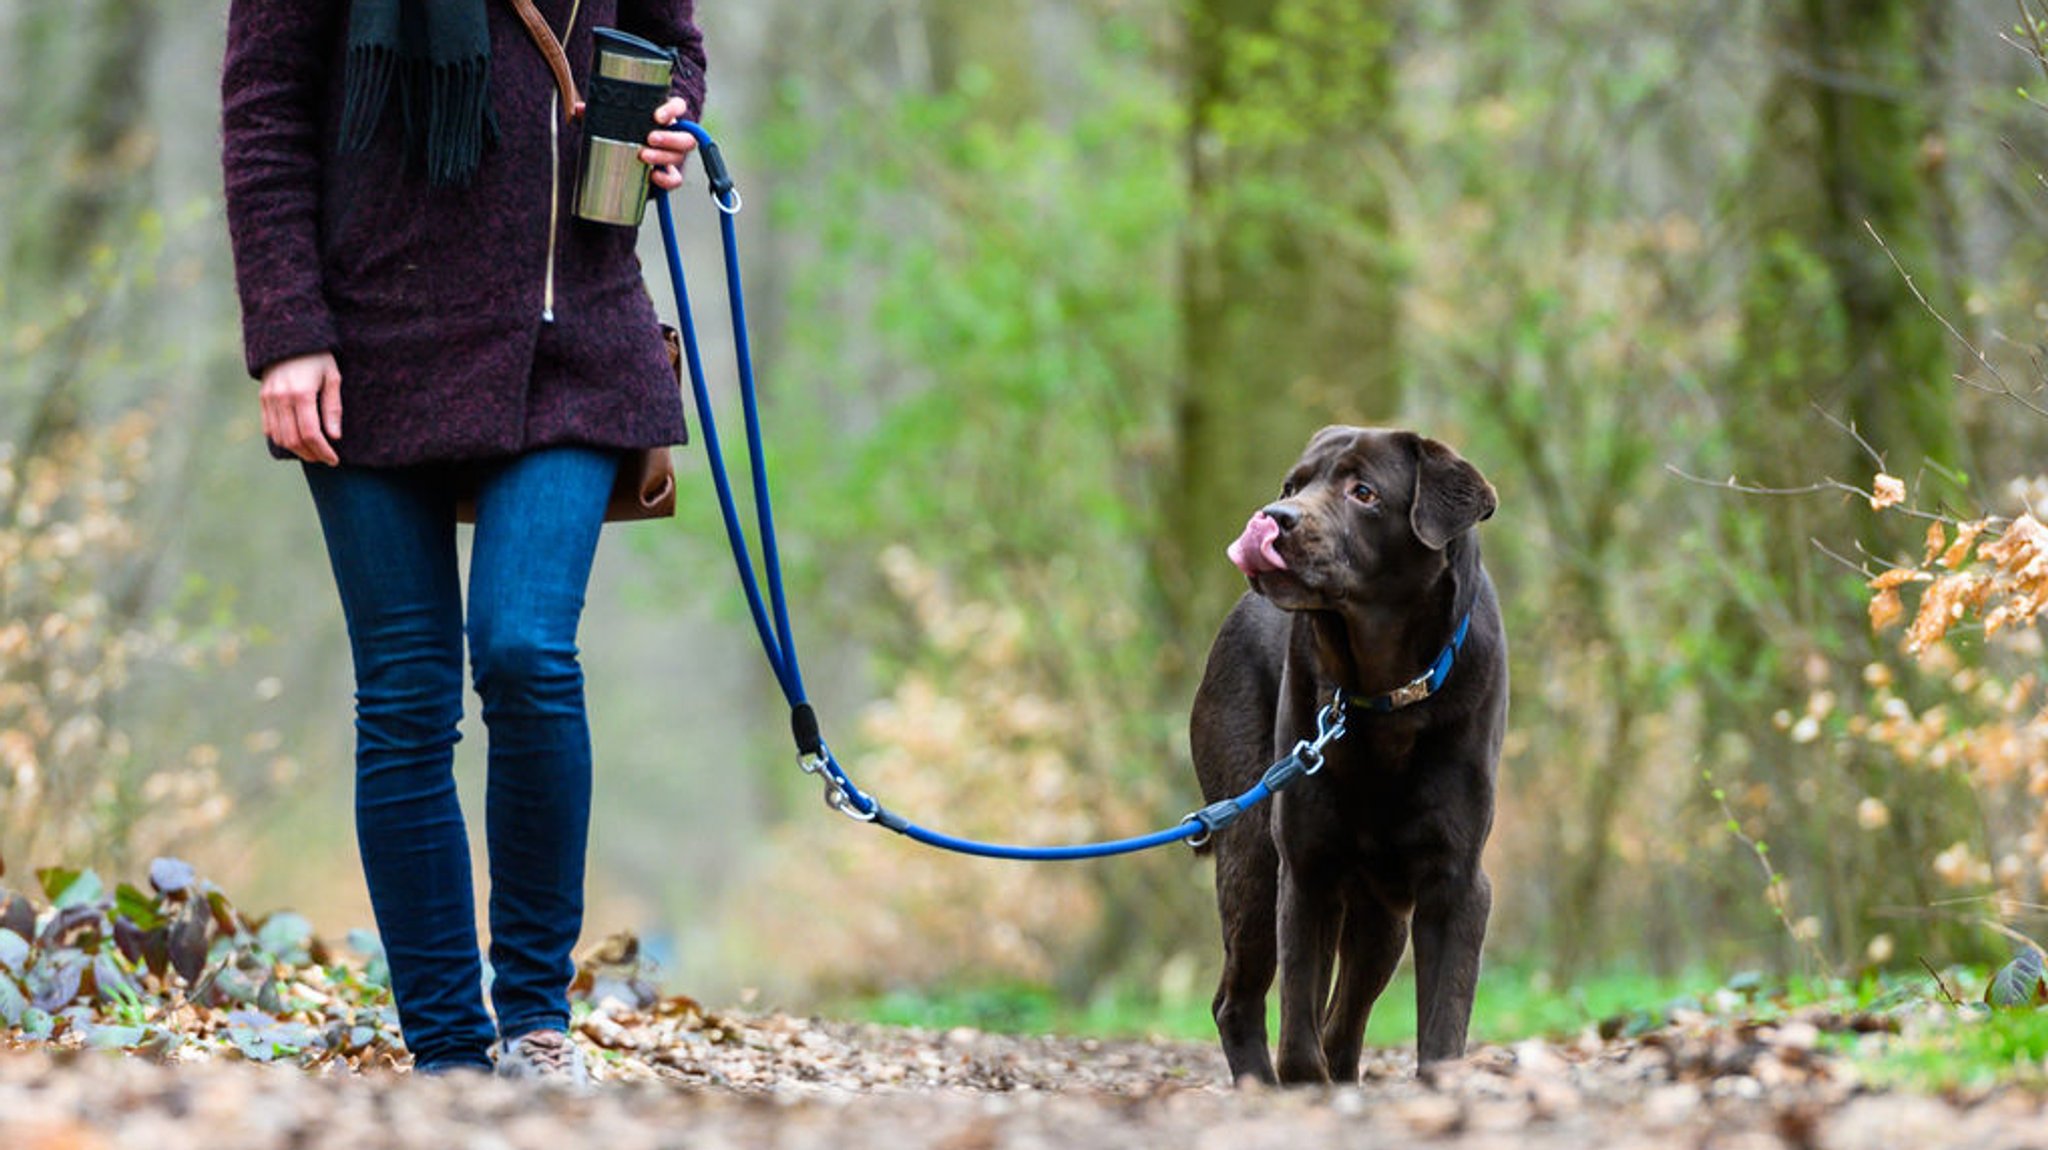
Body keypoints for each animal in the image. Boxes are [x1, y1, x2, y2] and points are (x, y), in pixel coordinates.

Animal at [1187, 423, 1507, 1080]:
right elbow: (1298, 1033)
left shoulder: (1457, 882)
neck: (1386, 694)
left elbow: (1442, 1026)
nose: (1273, 517)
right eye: (1292, 485)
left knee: (1343, 1019)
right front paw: (1301, 1084)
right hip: (1254, 854)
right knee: (1240, 1001)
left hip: (1382, 914)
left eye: (1364, 492)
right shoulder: (1305, 868)